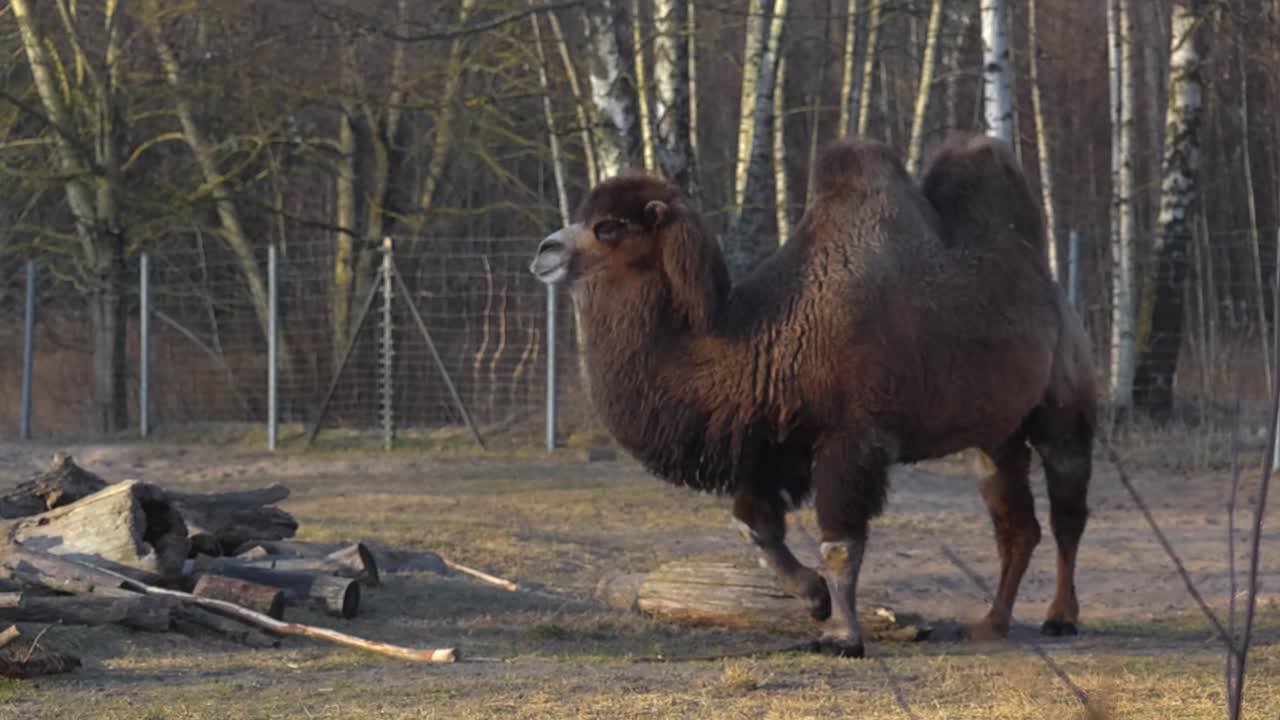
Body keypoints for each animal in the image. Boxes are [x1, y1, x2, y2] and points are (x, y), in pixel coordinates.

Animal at [529, 134, 1096, 658]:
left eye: (609, 227)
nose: (544, 251)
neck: (762, 337)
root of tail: (1054, 294)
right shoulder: (776, 445)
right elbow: (754, 528)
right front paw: (814, 598)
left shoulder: (853, 440)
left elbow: (839, 542)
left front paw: (843, 635)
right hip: (994, 436)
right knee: (1015, 525)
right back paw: (989, 624)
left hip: (1062, 411)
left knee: (1067, 510)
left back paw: (1060, 617)